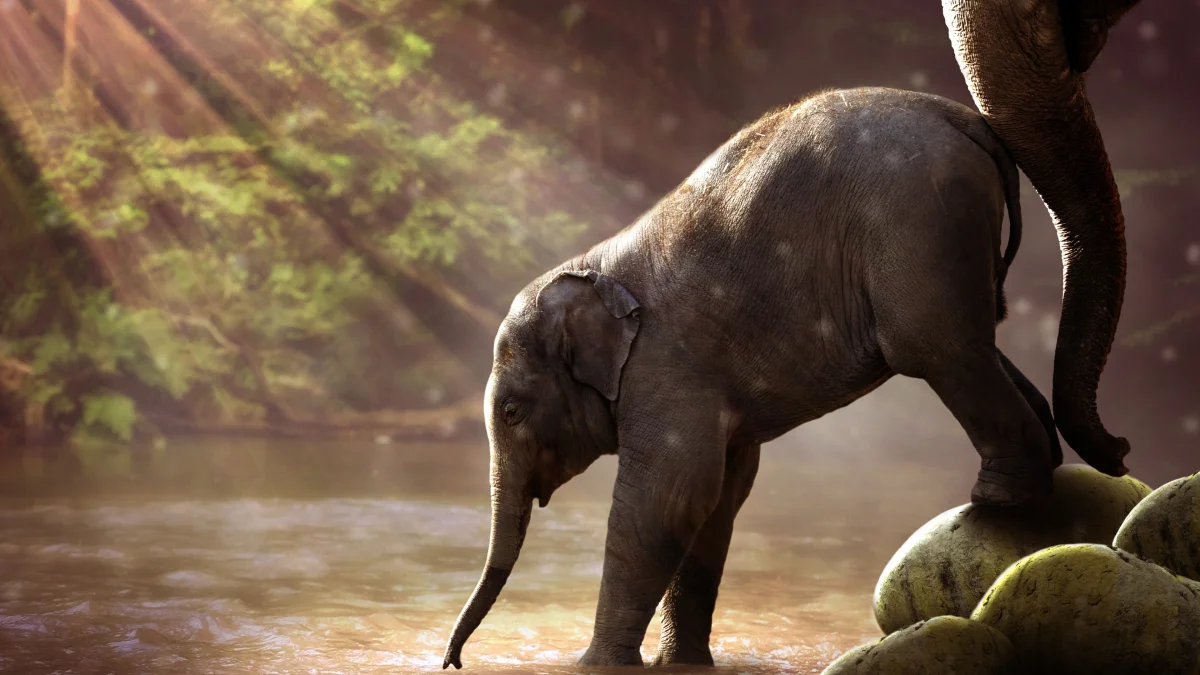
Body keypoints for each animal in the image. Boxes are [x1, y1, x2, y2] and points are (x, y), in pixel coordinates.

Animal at [442, 86, 1069, 669]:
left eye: (512, 412)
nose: (452, 660)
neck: (592, 268)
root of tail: (961, 117)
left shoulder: (666, 368)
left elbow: (669, 497)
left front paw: (594, 666)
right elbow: (719, 497)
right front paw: (683, 664)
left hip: (917, 224)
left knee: (937, 348)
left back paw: (998, 495)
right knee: (977, 343)